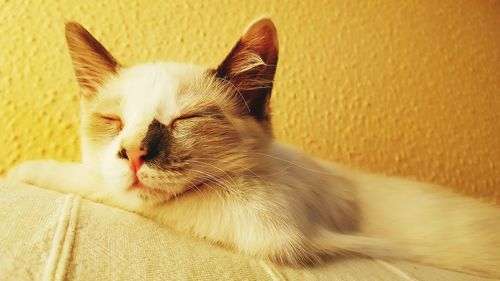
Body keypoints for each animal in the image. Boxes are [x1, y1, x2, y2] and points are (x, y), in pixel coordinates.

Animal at [6, 18, 500, 278]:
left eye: (185, 120)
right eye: (114, 122)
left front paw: (23, 169)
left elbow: (111, 190)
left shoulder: (268, 230)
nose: (133, 154)